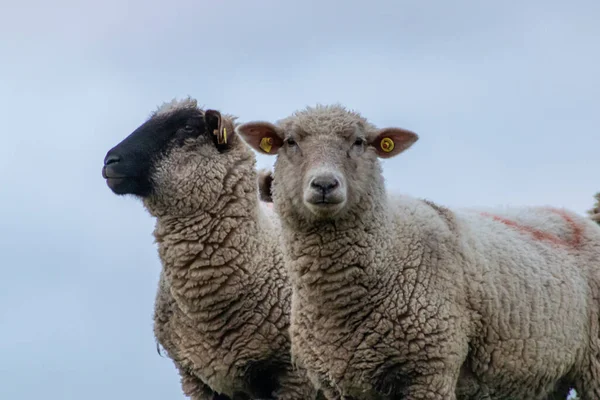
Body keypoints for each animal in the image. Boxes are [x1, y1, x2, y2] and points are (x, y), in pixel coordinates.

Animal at [237, 105, 600, 400]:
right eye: (290, 142)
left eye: (359, 142)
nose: (325, 184)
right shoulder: (338, 384)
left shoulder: (430, 371)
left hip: (594, 362)